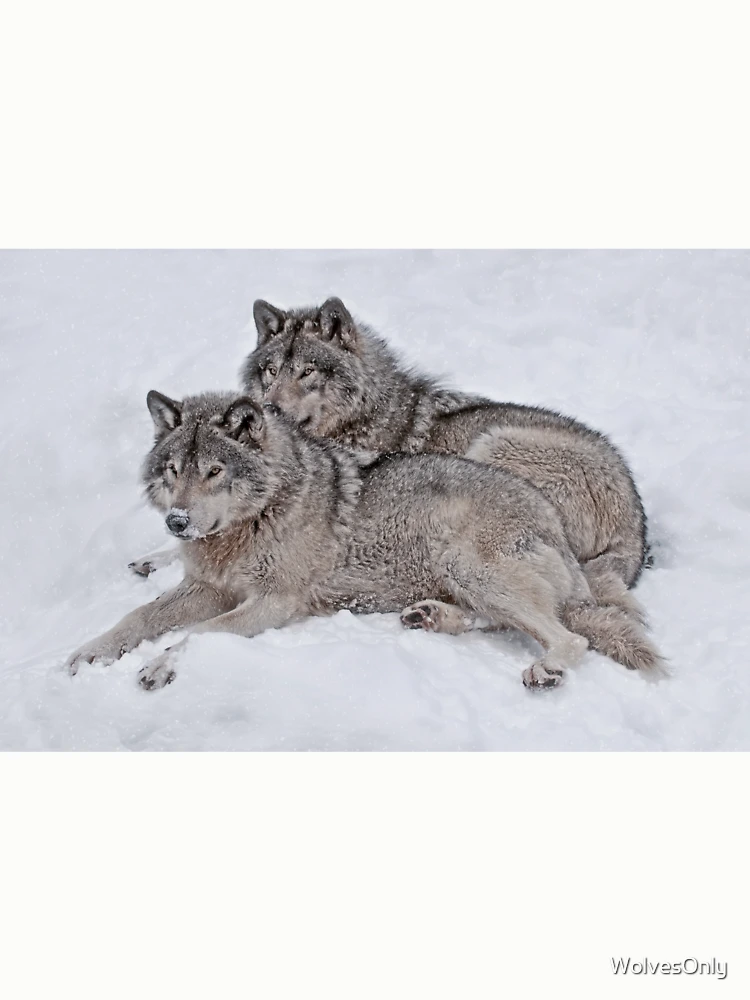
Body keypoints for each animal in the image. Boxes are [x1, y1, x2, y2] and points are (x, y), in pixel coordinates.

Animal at [68, 391, 663, 690]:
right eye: (173, 471)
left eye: (214, 472)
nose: (177, 523)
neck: (258, 517)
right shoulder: (207, 587)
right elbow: (137, 618)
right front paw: (90, 652)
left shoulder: (275, 602)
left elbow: (200, 634)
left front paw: (160, 665)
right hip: (468, 576)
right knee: (506, 621)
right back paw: (430, 617)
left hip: (473, 564)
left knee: (569, 637)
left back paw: (545, 668)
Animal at [236, 297, 657, 662]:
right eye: (271, 370)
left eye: (307, 371)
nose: (269, 407)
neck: (366, 419)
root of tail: (634, 528)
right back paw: (432, 615)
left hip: (492, 448)